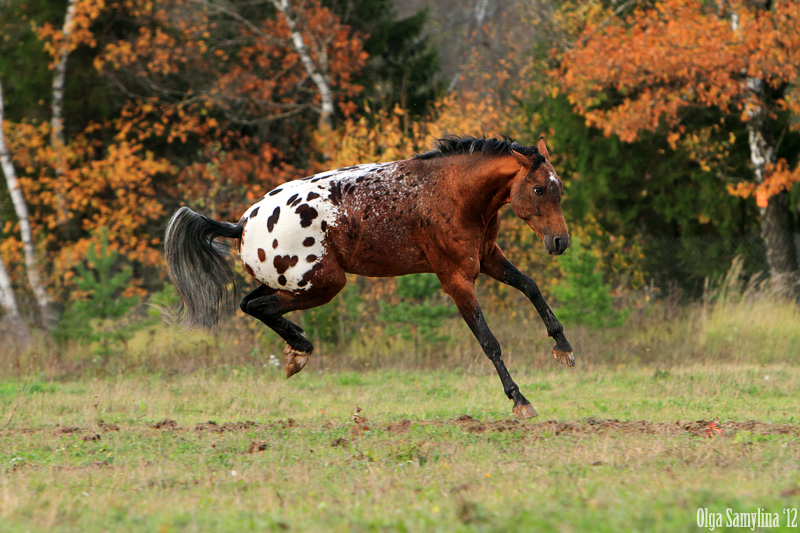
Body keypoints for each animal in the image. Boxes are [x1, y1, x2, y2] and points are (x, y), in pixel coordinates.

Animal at [162, 135, 576, 418]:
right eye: (539, 188)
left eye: (558, 188)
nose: (560, 241)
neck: (453, 194)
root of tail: (241, 225)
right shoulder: (456, 279)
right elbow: (489, 341)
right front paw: (519, 399)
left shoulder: (488, 259)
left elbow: (531, 288)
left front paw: (563, 348)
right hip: (323, 284)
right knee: (261, 307)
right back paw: (300, 350)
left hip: (292, 281)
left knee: (250, 303)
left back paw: (296, 350)